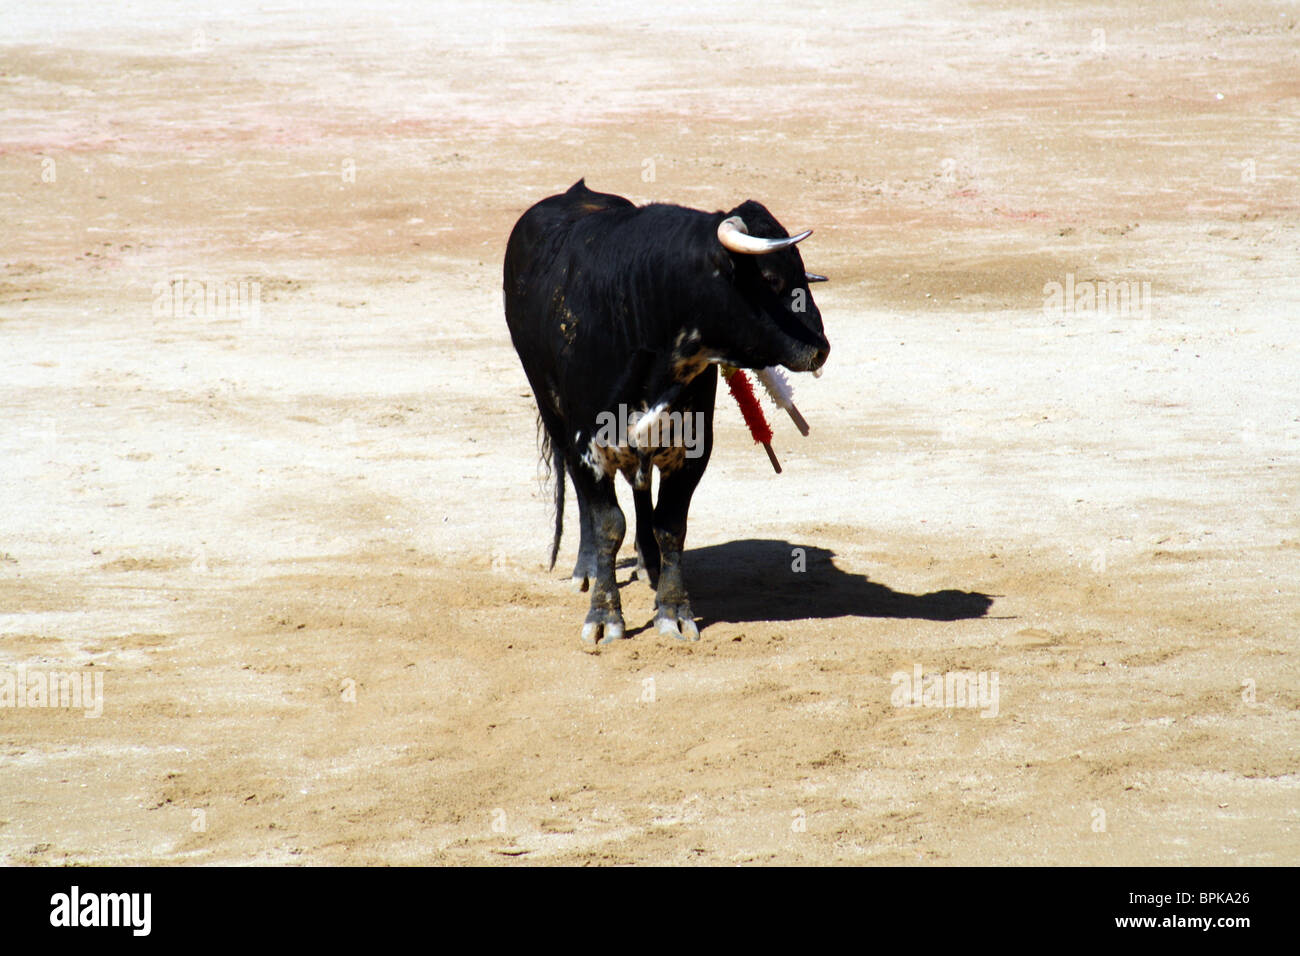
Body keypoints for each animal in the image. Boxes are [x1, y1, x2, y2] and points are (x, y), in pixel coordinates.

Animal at [501, 180, 826, 642]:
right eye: (771, 278)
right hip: (552, 412)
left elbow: (670, 524)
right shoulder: (585, 444)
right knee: (588, 499)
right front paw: (604, 617)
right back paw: (586, 567)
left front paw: (672, 609)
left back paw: (648, 562)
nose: (822, 348)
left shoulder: (693, 447)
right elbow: (607, 523)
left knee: (641, 488)